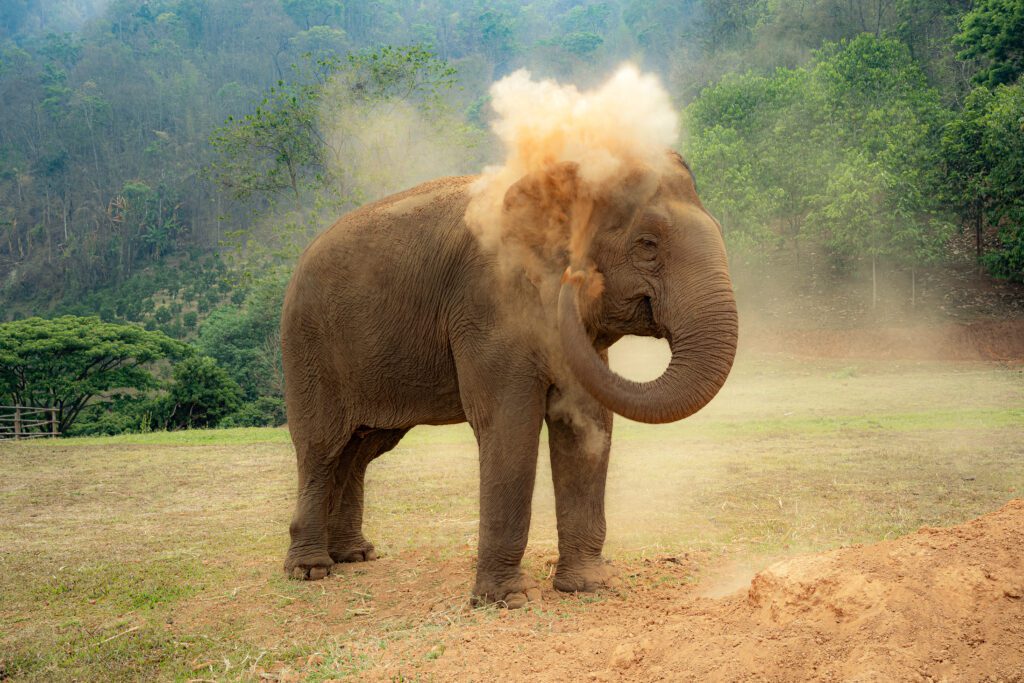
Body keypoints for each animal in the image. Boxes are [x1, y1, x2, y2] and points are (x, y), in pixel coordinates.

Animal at [280, 151, 738, 608]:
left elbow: (588, 423)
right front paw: (508, 600)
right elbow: (509, 424)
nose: (576, 276)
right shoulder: (488, 307)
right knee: (321, 448)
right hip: (308, 350)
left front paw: (589, 585)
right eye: (647, 244)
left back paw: (356, 555)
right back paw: (311, 570)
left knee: (360, 449)